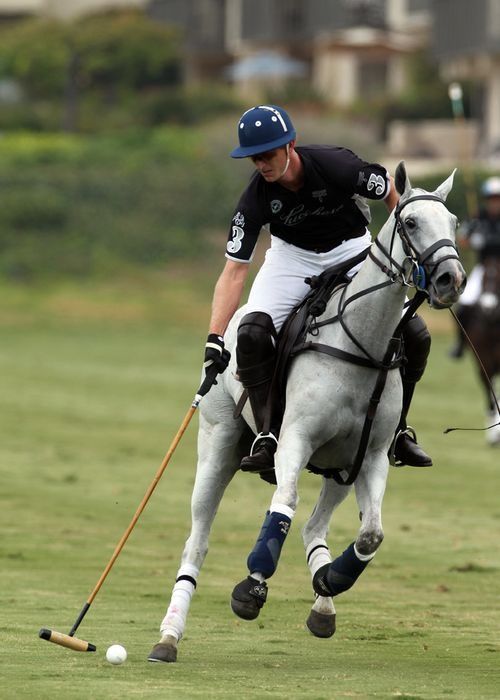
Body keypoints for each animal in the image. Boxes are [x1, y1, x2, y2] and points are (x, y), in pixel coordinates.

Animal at [148, 162, 466, 663]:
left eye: (454, 223)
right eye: (412, 223)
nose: (452, 280)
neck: (362, 344)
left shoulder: (371, 454)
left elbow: (371, 533)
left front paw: (332, 579)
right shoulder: (293, 441)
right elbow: (284, 505)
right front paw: (250, 589)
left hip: (340, 467)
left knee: (316, 524)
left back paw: (323, 598)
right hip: (218, 443)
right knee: (197, 539)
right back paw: (167, 637)